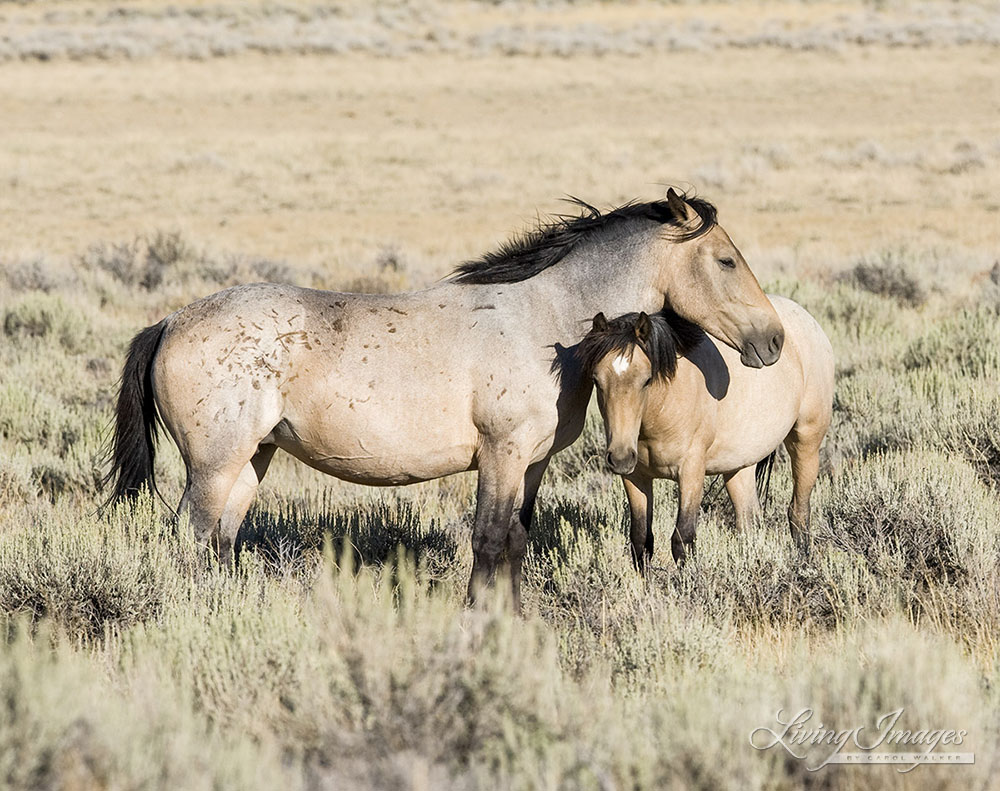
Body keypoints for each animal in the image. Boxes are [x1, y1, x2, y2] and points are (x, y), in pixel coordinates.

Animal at [105, 189, 784, 608]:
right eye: (726, 259)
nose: (773, 339)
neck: (544, 321)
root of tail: (168, 322)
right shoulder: (501, 455)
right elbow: (487, 540)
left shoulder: (530, 462)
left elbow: (515, 540)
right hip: (214, 464)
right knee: (191, 536)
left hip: (253, 459)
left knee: (221, 540)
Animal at [576, 296, 832, 568]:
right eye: (596, 381)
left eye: (646, 380)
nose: (620, 458)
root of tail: (805, 316)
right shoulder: (635, 478)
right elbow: (641, 541)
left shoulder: (691, 473)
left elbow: (683, 539)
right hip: (740, 467)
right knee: (749, 522)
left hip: (806, 443)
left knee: (798, 513)